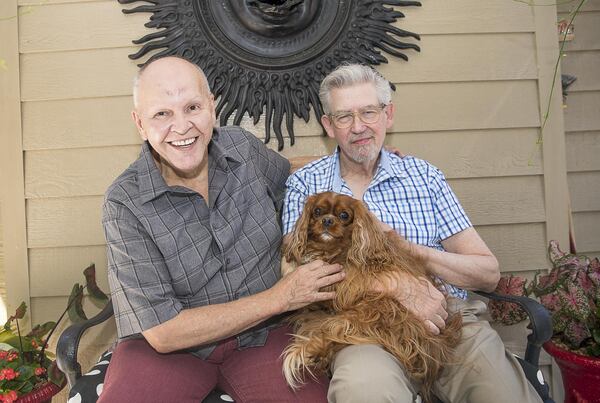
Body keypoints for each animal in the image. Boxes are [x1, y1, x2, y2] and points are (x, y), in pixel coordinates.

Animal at [284, 191, 462, 402]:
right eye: (317, 211)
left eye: (344, 215)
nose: (327, 220)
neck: (333, 251)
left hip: (375, 308)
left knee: (335, 330)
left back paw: (309, 350)